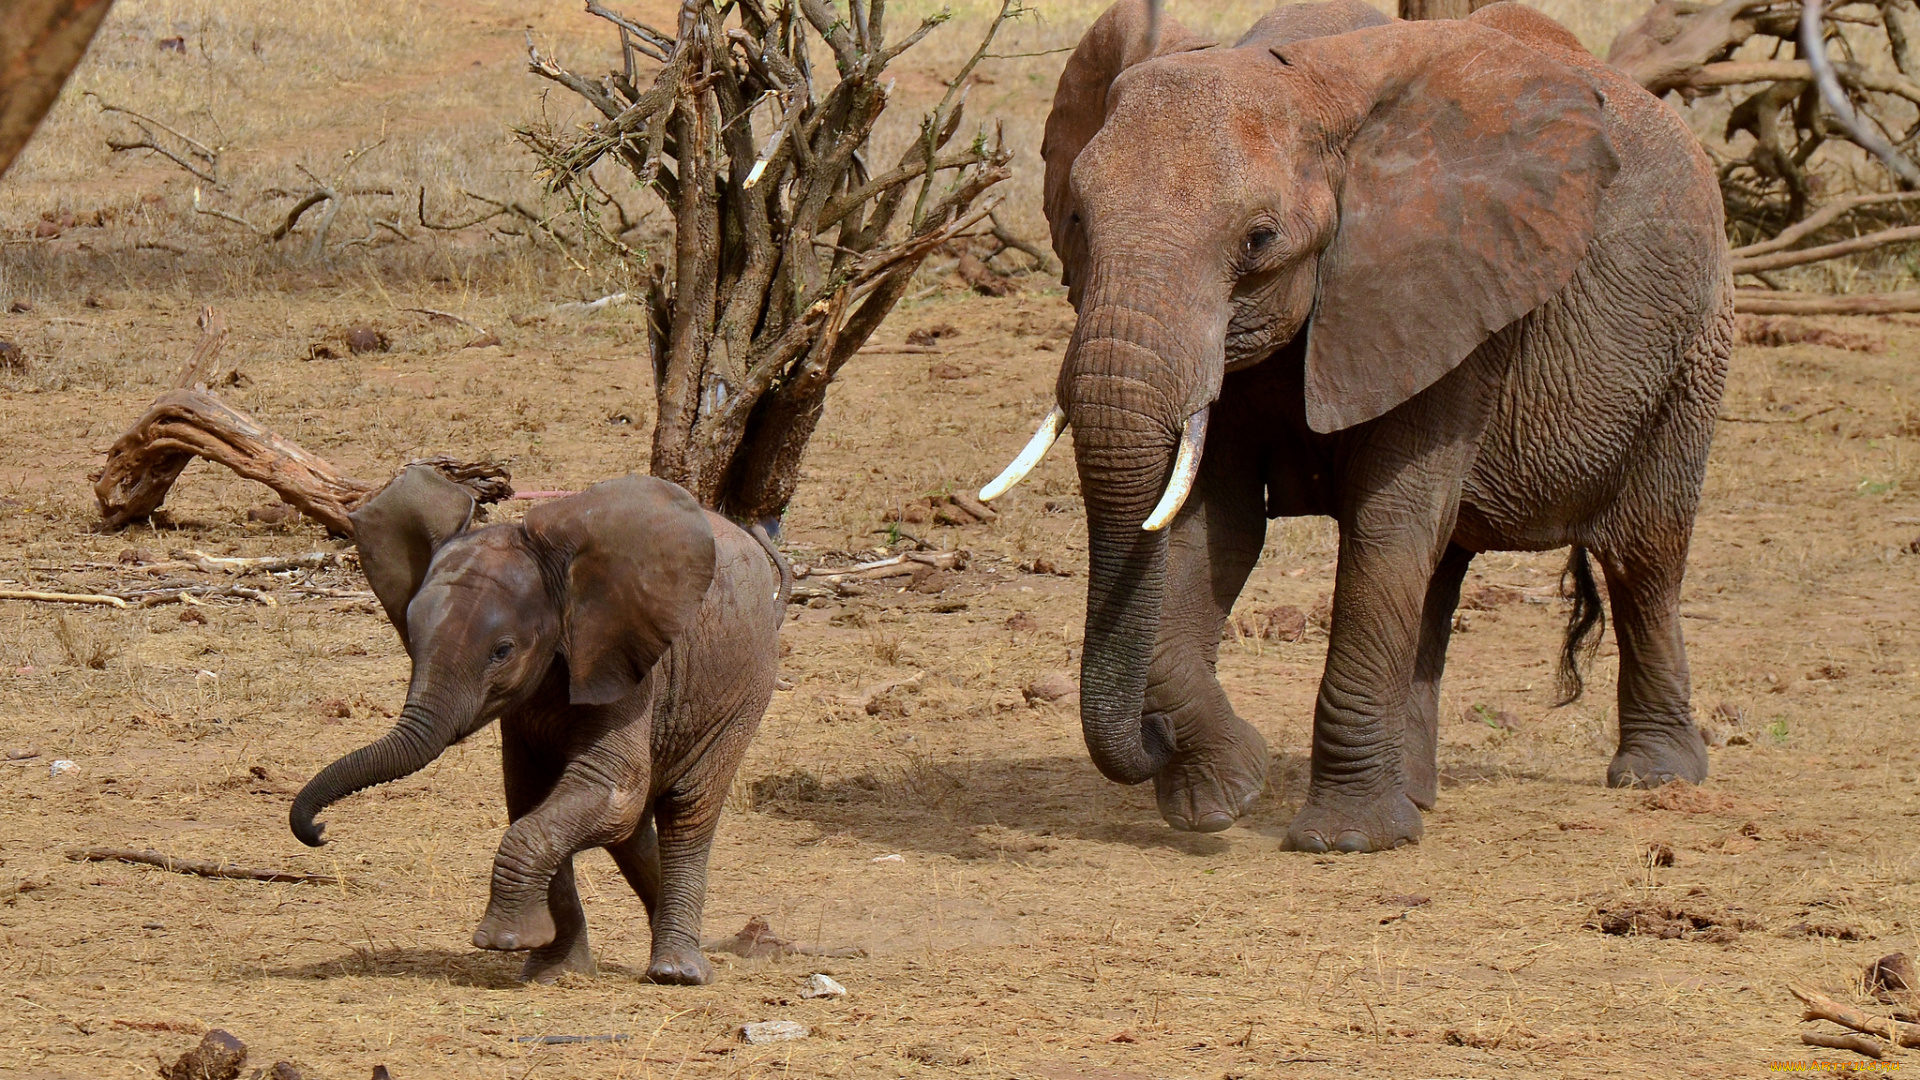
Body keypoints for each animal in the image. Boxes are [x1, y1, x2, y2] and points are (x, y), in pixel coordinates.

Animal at [291, 466, 787, 980]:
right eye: (414, 637)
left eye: (502, 651)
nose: (319, 831)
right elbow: (532, 798)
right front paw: (554, 972)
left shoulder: (623, 662)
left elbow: (609, 790)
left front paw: (502, 942)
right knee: (630, 831)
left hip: (744, 689)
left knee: (688, 808)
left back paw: (677, 972)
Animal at [983, 0, 1735, 849]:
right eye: (1077, 219)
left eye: (1258, 241)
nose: (1154, 740)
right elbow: (1214, 527)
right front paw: (1220, 796)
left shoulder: (1447, 286)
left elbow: (1387, 521)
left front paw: (1341, 840)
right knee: (1440, 573)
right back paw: (1417, 796)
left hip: (1696, 347)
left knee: (1644, 556)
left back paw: (1655, 776)